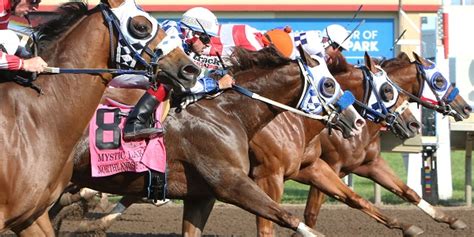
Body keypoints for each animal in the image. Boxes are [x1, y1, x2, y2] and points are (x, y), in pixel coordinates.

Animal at [66, 45, 364, 236]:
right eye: (329, 85)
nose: (357, 120)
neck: (228, 112)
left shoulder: (201, 196)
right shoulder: (231, 182)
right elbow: (285, 216)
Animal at [300, 51, 470, 235]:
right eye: (439, 80)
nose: (467, 108)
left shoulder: (369, 164)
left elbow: (408, 191)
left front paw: (450, 219)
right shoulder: (327, 166)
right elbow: (312, 212)